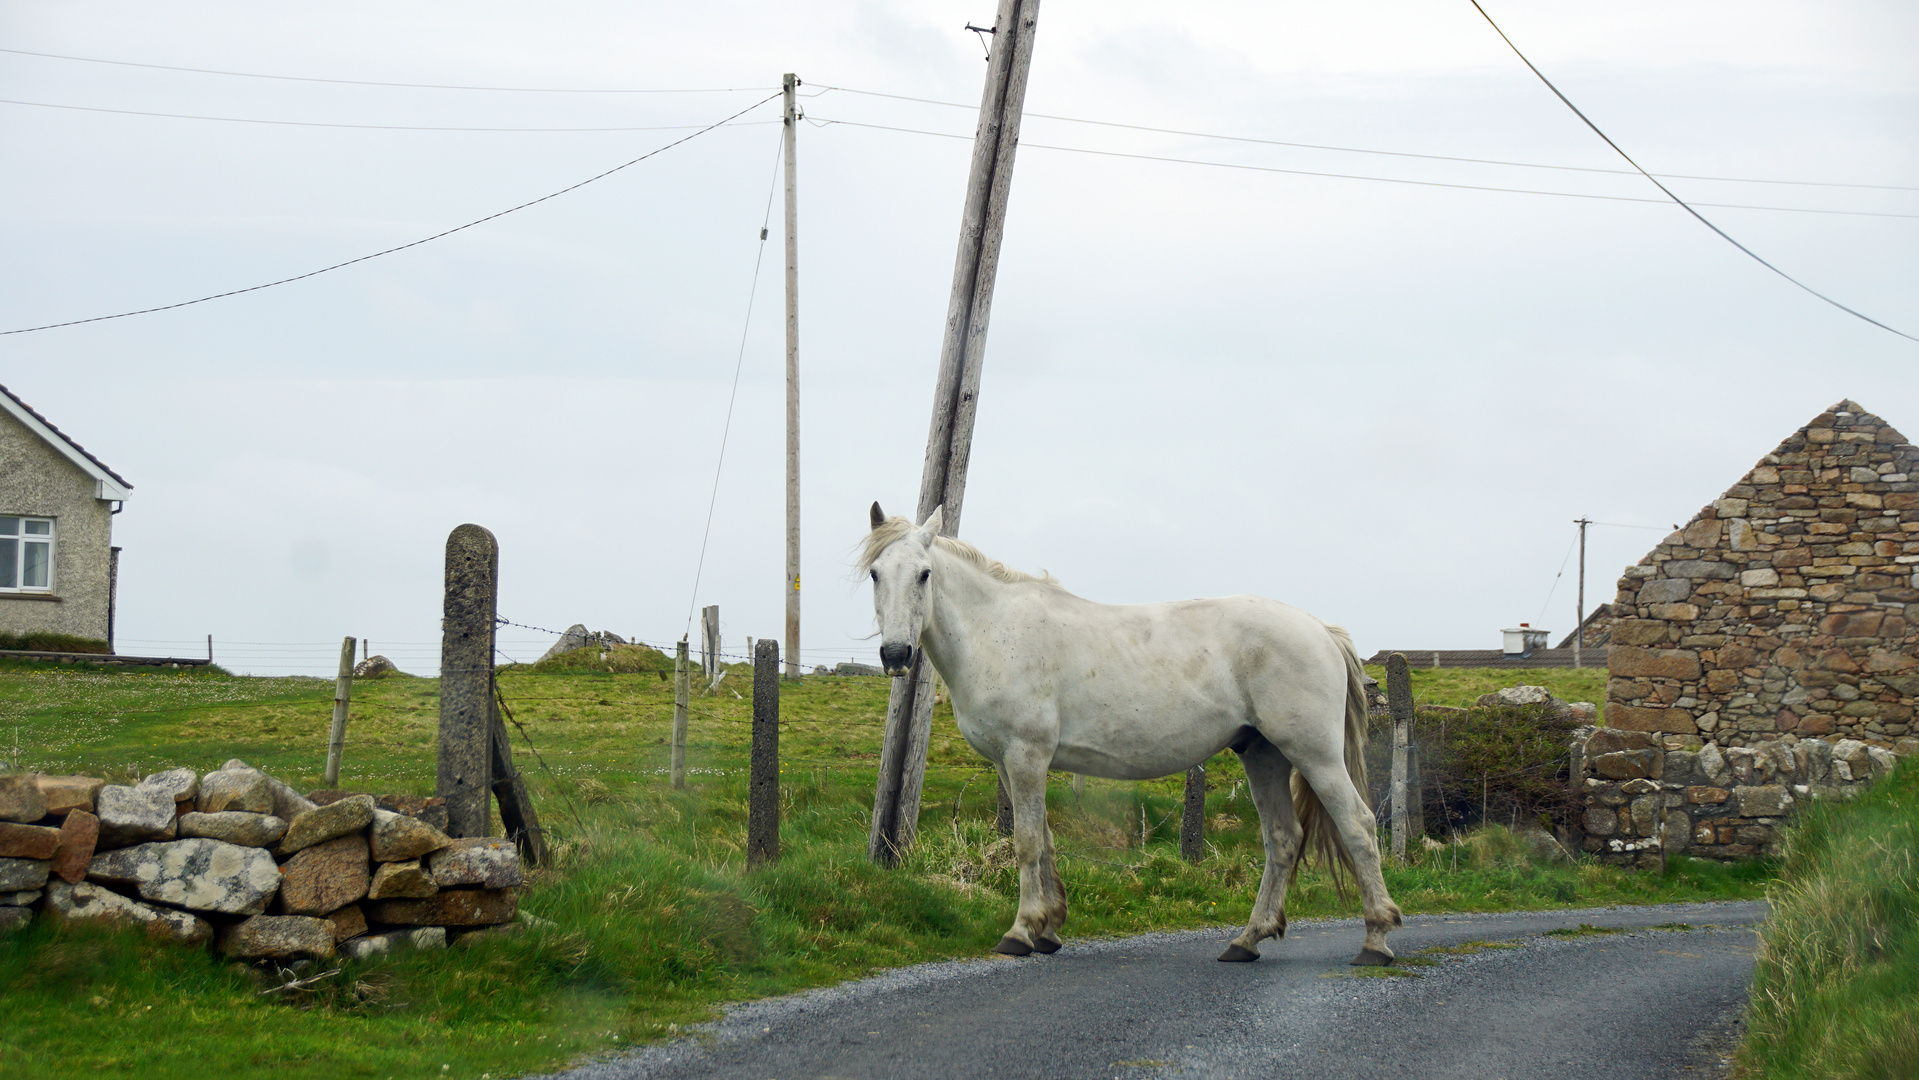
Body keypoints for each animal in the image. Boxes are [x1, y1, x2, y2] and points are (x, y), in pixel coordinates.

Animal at [863, 502, 1404, 966]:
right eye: (875, 573)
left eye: (924, 573)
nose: (896, 654)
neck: (995, 630)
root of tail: (1320, 629)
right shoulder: (1012, 763)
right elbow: (1045, 839)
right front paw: (1050, 928)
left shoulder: (1025, 757)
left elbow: (1027, 843)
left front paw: (1021, 931)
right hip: (1262, 753)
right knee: (1283, 838)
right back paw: (1247, 940)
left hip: (1314, 755)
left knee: (1357, 826)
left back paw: (1376, 939)